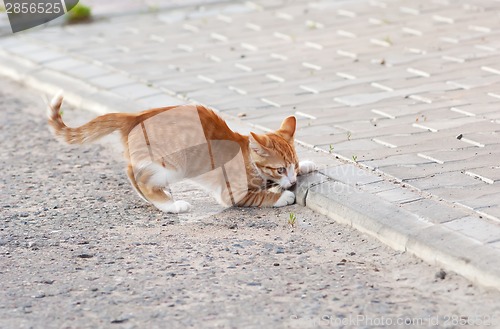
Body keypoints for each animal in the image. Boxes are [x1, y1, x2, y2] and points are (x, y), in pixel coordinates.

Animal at [46, 92, 312, 213]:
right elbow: (258, 196)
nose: (292, 180)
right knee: (138, 177)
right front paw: (282, 196)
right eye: (280, 169)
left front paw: (308, 165)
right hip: (172, 165)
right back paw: (170, 205)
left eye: (294, 166)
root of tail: (135, 116)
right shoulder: (232, 193)